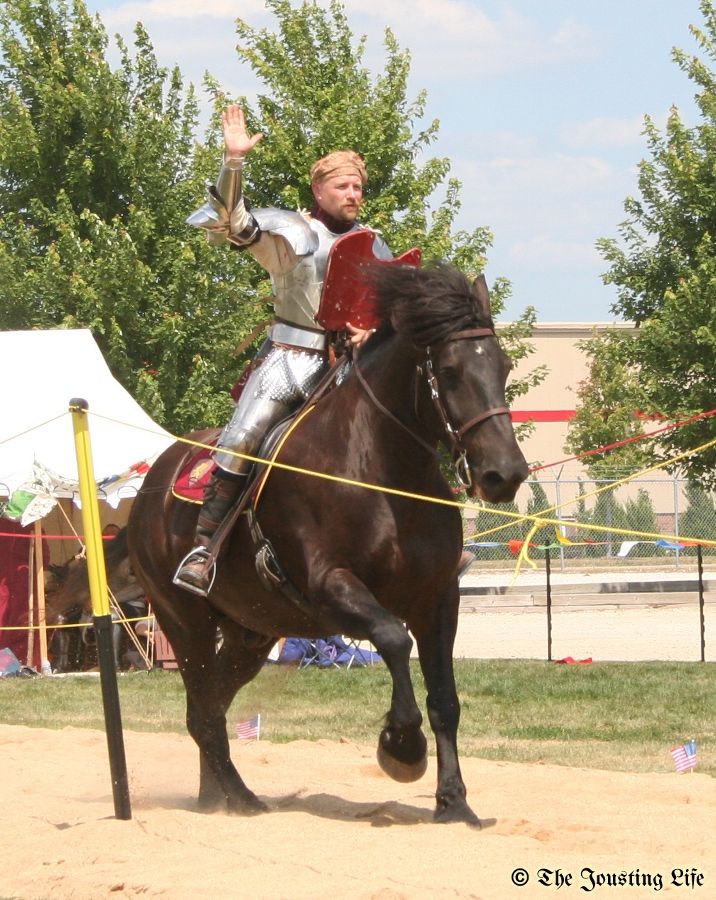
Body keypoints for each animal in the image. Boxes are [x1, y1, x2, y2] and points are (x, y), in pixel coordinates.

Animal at [126, 262, 528, 825]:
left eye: (505, 367)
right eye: (449, 371)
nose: (504, 474)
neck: (381, 472)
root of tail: (151, 487)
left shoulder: (437, 600)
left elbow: (445, 699)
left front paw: (454, 801)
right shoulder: (331, 588)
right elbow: (392, 639)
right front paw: (402, 747)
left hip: (250, 634)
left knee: (211, 707)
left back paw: (216, 795)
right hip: (185, 623)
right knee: (202, 711)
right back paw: (240, 798)